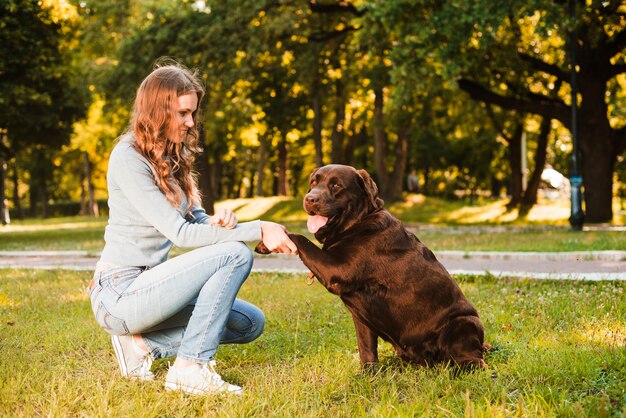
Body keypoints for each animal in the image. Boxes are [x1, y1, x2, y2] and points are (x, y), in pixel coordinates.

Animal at [256, 165, 486, 368]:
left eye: (336, 185)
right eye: (314, 182)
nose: (310, 198)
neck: (356, 224)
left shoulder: (338, 269)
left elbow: (301, 239)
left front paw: (268, 239)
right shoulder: (361, 318)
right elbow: (366, 348)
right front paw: (368, 375)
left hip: (464, 322)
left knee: (474, 362)